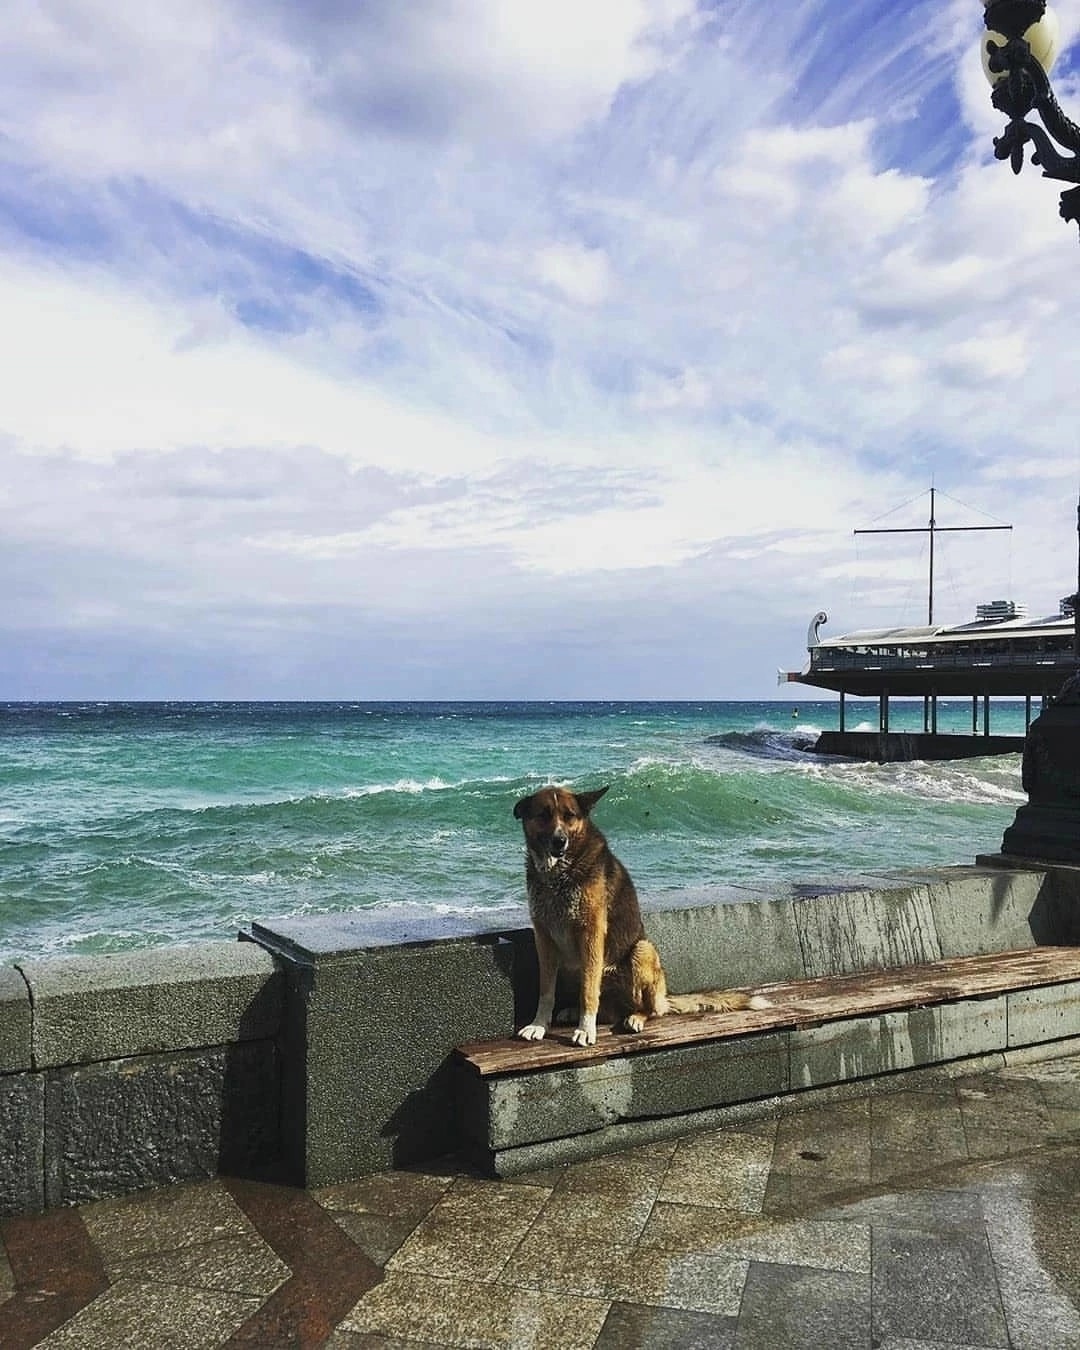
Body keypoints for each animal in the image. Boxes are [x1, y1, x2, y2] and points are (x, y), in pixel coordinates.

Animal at [513, 783, 766, 1053]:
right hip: (572, 967)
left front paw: (585, 1029)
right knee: (606, 1009)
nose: (560, 841)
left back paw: (635, 1017)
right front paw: (539, 1025)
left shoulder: (591, 933)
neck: (558, 873)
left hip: (642, 950)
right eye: (544, 814)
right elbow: (545, 992)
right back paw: (576, 1012)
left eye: (569, 815)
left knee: (649, 1010)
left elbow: (589, 991)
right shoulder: (544, 938)